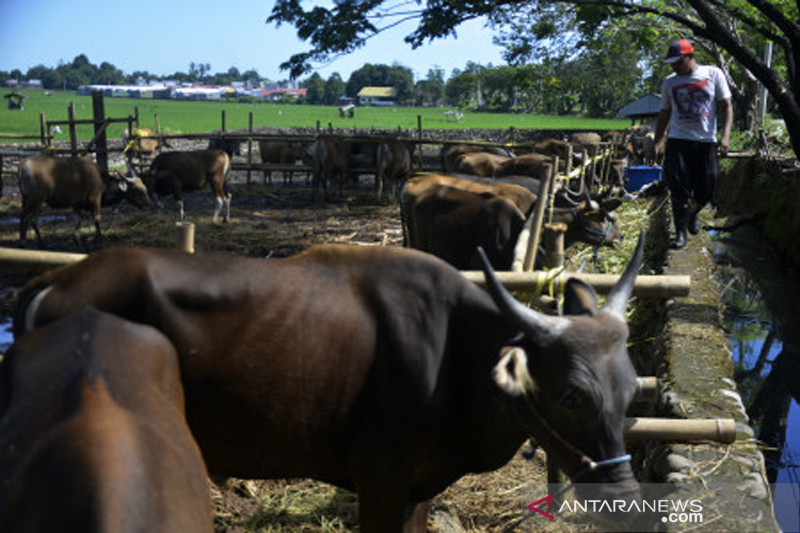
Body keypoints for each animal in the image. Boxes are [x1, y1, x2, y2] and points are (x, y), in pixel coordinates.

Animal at [18, 154, 153, 245]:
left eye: (145, 187)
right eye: (138, 190)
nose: (149, 205)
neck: (101, 181)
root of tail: (25, 163)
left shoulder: (77, 205)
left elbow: (79, 220)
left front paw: (76, 239)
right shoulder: (95, 199)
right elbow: (97, 219)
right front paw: (100, 237)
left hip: (26, 199)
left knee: (25, 217)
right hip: (36, 199)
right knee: (28, 217)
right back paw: (32, 241)